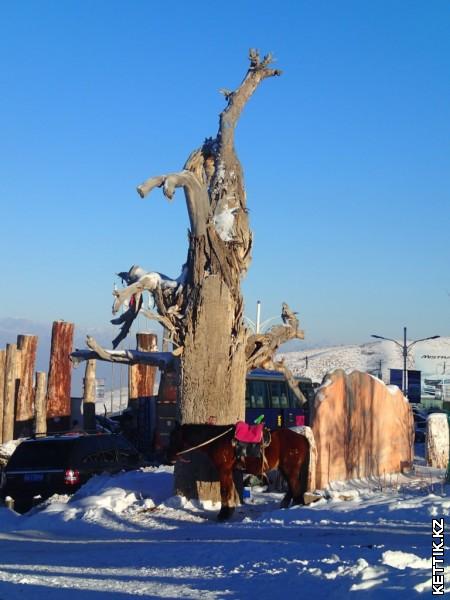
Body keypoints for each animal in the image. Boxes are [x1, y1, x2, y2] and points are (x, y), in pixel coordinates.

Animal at [167, 422, 312, 520]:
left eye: (173, 437)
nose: (168, 457)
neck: (218, 440)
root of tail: (302, 438)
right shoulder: (229, 472)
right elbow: (230, 490)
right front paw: (228, 511)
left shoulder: (224, 470)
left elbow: (225, 491)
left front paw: (224, 514)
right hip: (284, 469)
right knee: (292, 488)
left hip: (290, 469)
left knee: (295, 488)